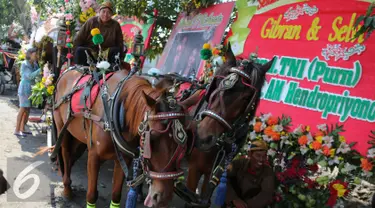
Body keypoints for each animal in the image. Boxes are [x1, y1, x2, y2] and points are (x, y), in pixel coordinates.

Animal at [53, 68, 191, 206]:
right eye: (152, 138)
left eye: (184, 143)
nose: (164, 198)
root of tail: (67, 71)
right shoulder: (93, 156)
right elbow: (91, 195)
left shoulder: (124, 159)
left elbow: (116, 195)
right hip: (63, 130)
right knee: (66, 154)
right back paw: (67, 189)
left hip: (78, 137)